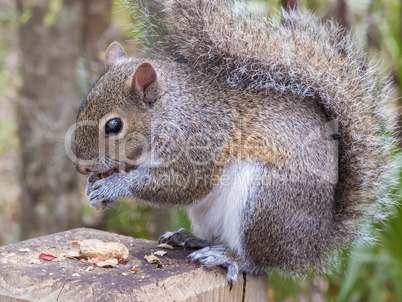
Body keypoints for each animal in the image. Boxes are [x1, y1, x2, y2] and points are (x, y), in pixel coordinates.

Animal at [74, 0, 398, 286]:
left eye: (114, 125)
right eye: (82, 106)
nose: (81, 168)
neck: (168, 111)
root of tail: (313, 243)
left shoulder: (199, 139)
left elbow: (184, 182)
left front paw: (114, 186)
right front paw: (94, 185)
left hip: (265, 201)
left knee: (258, 261)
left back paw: (229, 257)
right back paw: (192, 238)